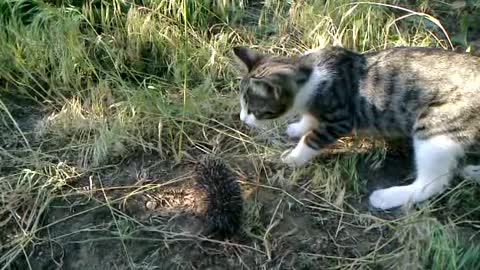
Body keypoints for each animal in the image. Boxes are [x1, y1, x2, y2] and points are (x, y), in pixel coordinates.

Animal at [232, 46, 480, 211]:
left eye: (253, 109)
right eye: (242, 104)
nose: (243, 119)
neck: (310, 74)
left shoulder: (340, 119)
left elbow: (312, 139)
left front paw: (293, 158)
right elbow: (310, 120)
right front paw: (297, 128)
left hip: (437, 128)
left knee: (435, 183)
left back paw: (387, 197)